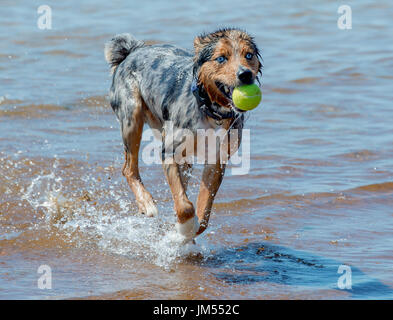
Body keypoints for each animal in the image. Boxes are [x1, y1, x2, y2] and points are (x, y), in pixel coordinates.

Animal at [105, 28, 262, 241]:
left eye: (249, 55)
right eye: (221, 58)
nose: (245, 74)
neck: (211, 111)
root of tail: (132, 51)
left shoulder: (217, 159)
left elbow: (204, 208)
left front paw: (187, 231)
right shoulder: (169, 150)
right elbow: (185, 206)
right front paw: (184, 228)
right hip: (132, 116)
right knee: (128, 169)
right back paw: (146, 203)